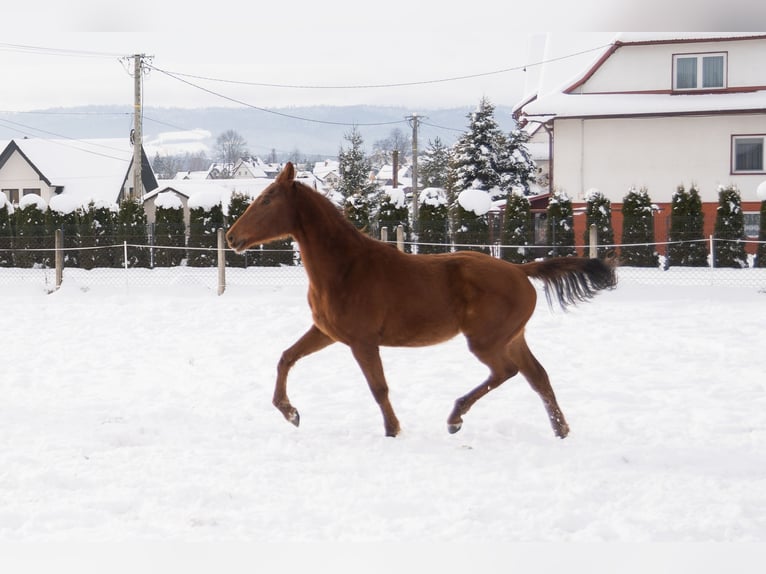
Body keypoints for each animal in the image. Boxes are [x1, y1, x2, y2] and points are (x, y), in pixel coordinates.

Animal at [226, 162, 617, 438]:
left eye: (267, 199)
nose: (231, 237)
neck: (345, 267)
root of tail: (521, 271)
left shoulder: (362, 341)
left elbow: (378, 387)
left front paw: (393, 430)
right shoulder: (326, 332)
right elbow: (286, 357)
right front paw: (290, 413)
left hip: (487, 341)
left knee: (507, 372)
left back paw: (456, 418)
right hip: (512, 338)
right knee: (538, 376)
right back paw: (560, 430)